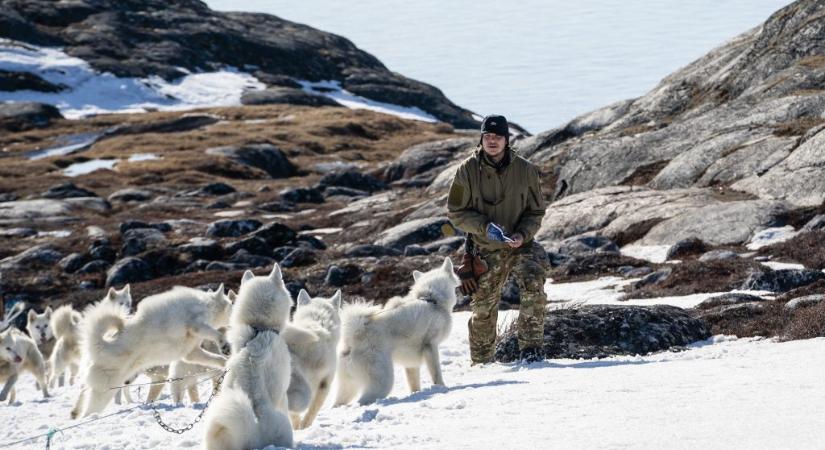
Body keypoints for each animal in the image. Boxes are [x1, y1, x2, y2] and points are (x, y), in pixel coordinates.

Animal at [72, 284, 232, 418]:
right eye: (231, 303)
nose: (235, 307)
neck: (207, 304)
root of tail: (103, 346)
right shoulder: (196, 325)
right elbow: (217, 334)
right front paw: (224, 346)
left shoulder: (191, 353)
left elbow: (216, 358)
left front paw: (226, 362)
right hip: (105, 392)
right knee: (89, 411)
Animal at [336, 256, 464, 408]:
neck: (432, 299)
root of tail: (353, 336)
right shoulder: (430, 346)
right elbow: (436, 373)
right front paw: (442, 388)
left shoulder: (411, 363)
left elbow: (414, 383)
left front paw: (416, 394)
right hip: (382, 381)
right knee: (363, 400)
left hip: (348, 387)